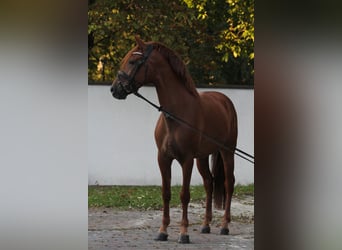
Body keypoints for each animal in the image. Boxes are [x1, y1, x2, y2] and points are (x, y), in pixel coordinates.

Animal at [111, 36, 236, 243]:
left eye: (133, 61)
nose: (115, 90)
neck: (177, 114)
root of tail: (225, 100)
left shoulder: (186, 160)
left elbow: (184, 195)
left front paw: (183, 233)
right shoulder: (163, 159)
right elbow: (166, 193)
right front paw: (162, 231)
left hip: (227, 152)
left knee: (229, 182)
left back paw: (225, 226)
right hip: (202, 157)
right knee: (209, 183)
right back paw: (205, 225)